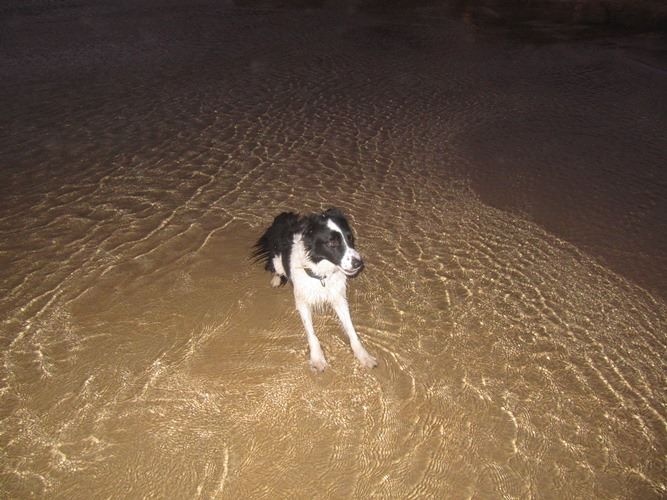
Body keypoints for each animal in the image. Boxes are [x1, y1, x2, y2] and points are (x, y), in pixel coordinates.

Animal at [252, 207, 377, 372]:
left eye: (350, 238)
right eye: (332, 242)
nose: (359, 263)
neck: (322, 274)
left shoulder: (339, 298)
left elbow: (351, 329)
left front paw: (363, 355)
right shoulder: (302, 302)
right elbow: (311, 333)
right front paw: (317, 357)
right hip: (277, 260)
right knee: (274, 266)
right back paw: (276, 279)